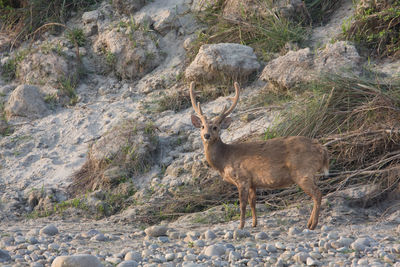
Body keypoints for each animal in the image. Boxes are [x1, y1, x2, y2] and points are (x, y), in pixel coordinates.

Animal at [190, 82, 328, 230]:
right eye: (202, 126)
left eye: (215, 127)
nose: (206, 135)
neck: (225, 159)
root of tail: (322, 149)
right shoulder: (252, 182)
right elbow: (253, 202)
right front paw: (254, 223)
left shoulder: (242, 178)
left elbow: (242, 204)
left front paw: (241, 226)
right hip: (309, 173)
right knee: (317, 193)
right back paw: (309, 223)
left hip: (302, 171)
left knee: (317, 194)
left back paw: (312, 225)